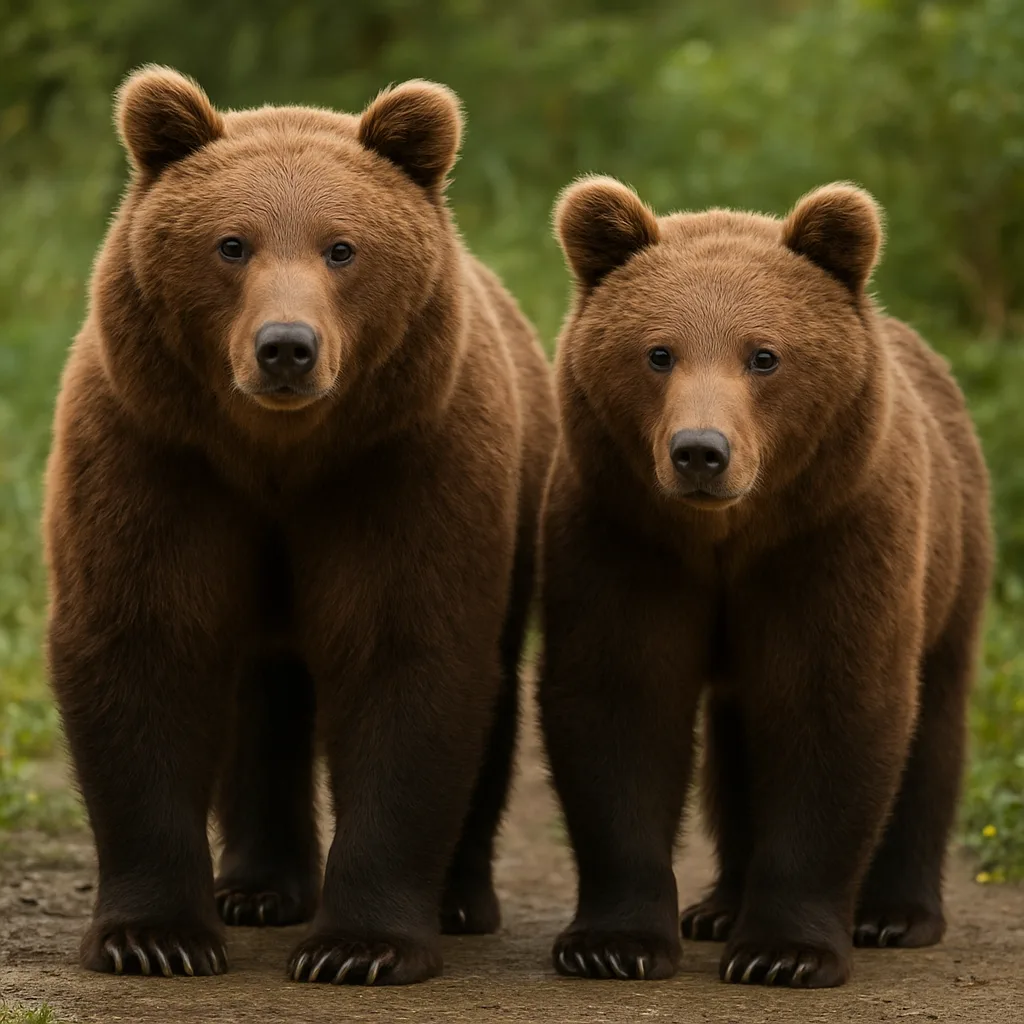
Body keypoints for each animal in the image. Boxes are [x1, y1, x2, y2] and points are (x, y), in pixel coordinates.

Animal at [44, 66, 556, 985]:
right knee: (264, 695)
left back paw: (459, 898)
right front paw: (154, 937)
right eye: (231, 244)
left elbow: (407, 659)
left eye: (341, 248)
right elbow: (140, 644)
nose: (287, 346)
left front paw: (361, 947)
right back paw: (257, 886)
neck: (277, 456)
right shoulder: (157, 456)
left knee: (493, 686)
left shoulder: (401, 465)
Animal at [537, 176, 992, 988]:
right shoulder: (624, 537)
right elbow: (618, 702)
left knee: (934, 726)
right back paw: (719, 906)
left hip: (953, 562)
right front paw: (612, 942)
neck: (727, 538)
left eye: (765, 356)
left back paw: (895, 912)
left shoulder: (830, 540)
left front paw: (785, 951)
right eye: (659, 352)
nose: (700, 451)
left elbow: (830, 705)